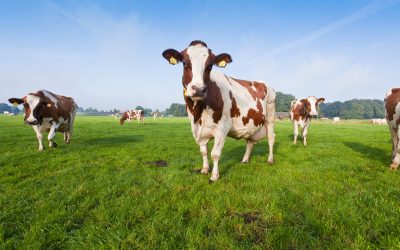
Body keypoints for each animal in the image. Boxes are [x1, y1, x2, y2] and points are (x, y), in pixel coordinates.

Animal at [162, 39, 276, 182]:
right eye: (184, 63)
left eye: (210, 65)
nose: (198, 89)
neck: (199, 112)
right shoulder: (197, 128)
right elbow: (203, 151)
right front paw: (205, 169)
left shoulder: (223, 127)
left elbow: (215, 154)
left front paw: (214, 176)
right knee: (250, 141)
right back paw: (245, 160)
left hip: (270, 117)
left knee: (271, 138)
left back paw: (270, 160)